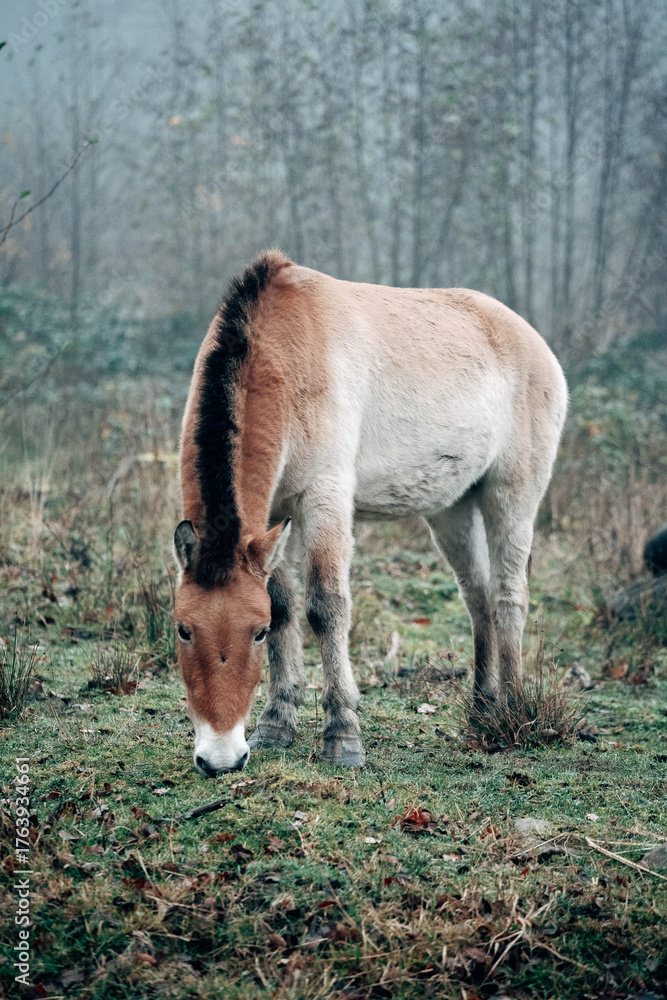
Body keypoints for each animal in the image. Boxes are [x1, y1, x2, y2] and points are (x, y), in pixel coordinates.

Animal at [173, 250, 567, 776]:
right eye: (183, 629)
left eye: (255, 634)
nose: (220, 758)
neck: (286, 353)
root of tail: (532, 340)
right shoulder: (277, 512)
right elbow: (285, 604)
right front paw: (277, 725)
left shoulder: (325, 495)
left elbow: (325, 606)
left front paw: (342, 735)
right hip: (452, 511)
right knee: (478, 598)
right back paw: (482, 710)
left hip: (513, 497)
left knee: (508, 598)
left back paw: (513, 712)